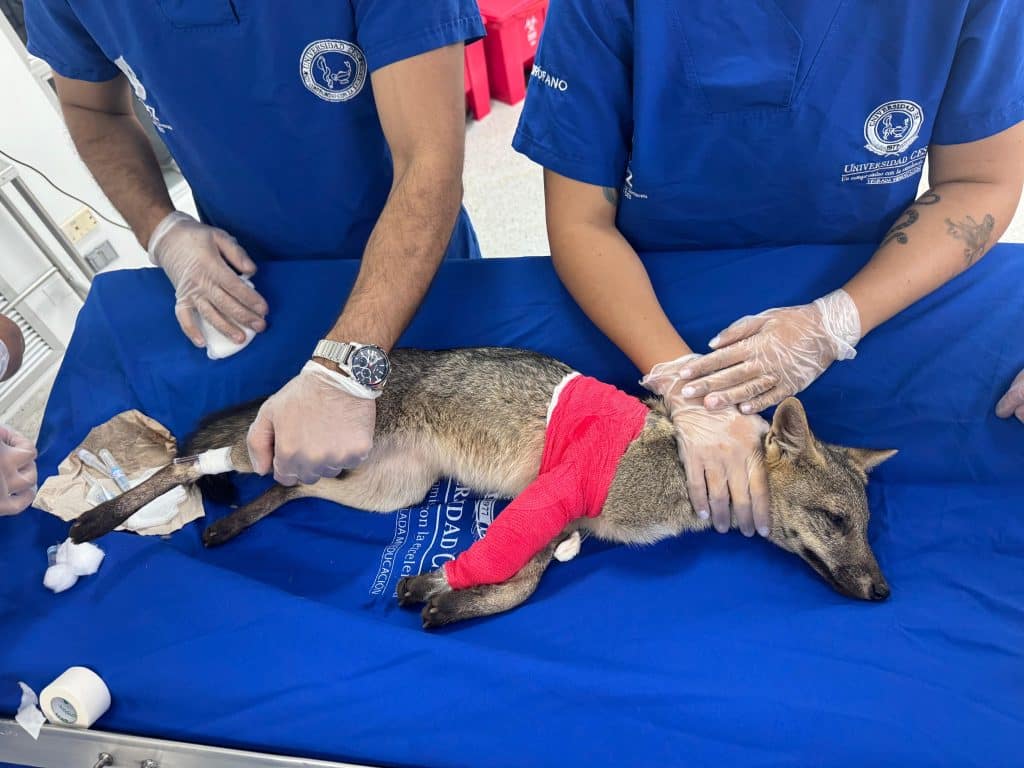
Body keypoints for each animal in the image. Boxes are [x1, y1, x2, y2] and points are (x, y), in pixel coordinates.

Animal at [68, 347, 896, 628]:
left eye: (867, 527)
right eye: (835, 521)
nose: (886, 592)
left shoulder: (570, 524)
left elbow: (528, 573)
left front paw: (450, 594)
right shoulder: (558, 495)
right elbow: (510, 563)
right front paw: (448, 585)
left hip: (382, 492)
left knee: (291, 492)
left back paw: (229, 525)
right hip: (294, 460)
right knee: (189, 463)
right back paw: (97, 521)